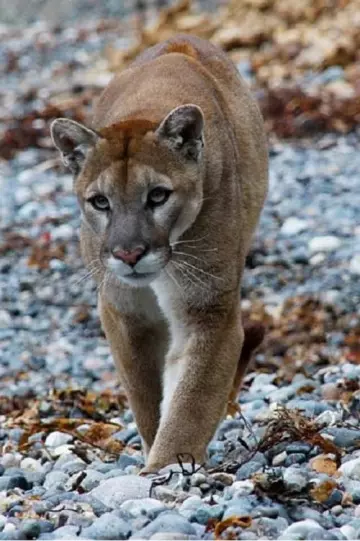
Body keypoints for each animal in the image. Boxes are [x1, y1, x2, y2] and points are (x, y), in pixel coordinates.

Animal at [50, 34, 268, 472]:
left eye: (157, 196)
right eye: (100, 202)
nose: (129, 254)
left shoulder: (209, 309)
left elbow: (192, 398)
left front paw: (166, 468)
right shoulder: (125, 313)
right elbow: (146, 394)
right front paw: (156, 457)